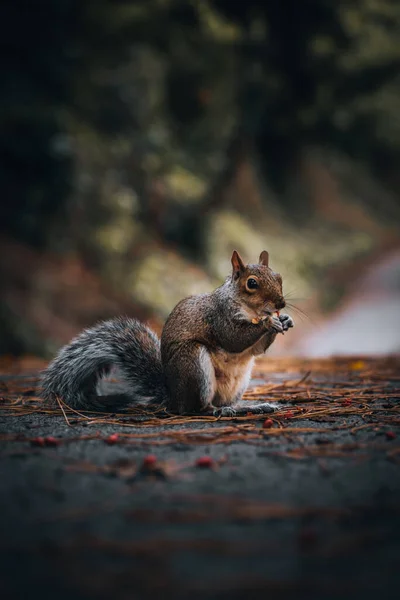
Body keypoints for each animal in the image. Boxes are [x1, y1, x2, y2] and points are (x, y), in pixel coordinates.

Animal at [40, 251, 294, 414]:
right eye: (252, 283)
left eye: (279, 277)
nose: (281, 304)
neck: (250, 310)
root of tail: (173, 396)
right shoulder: (218, 317)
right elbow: (233, 338)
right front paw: (267, 323)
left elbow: (257, 349)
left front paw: (285, 320)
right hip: (193, 364)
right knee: (195, 408)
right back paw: (216, 411)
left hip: (238, 384)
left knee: (224, 402)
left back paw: (252, 406)